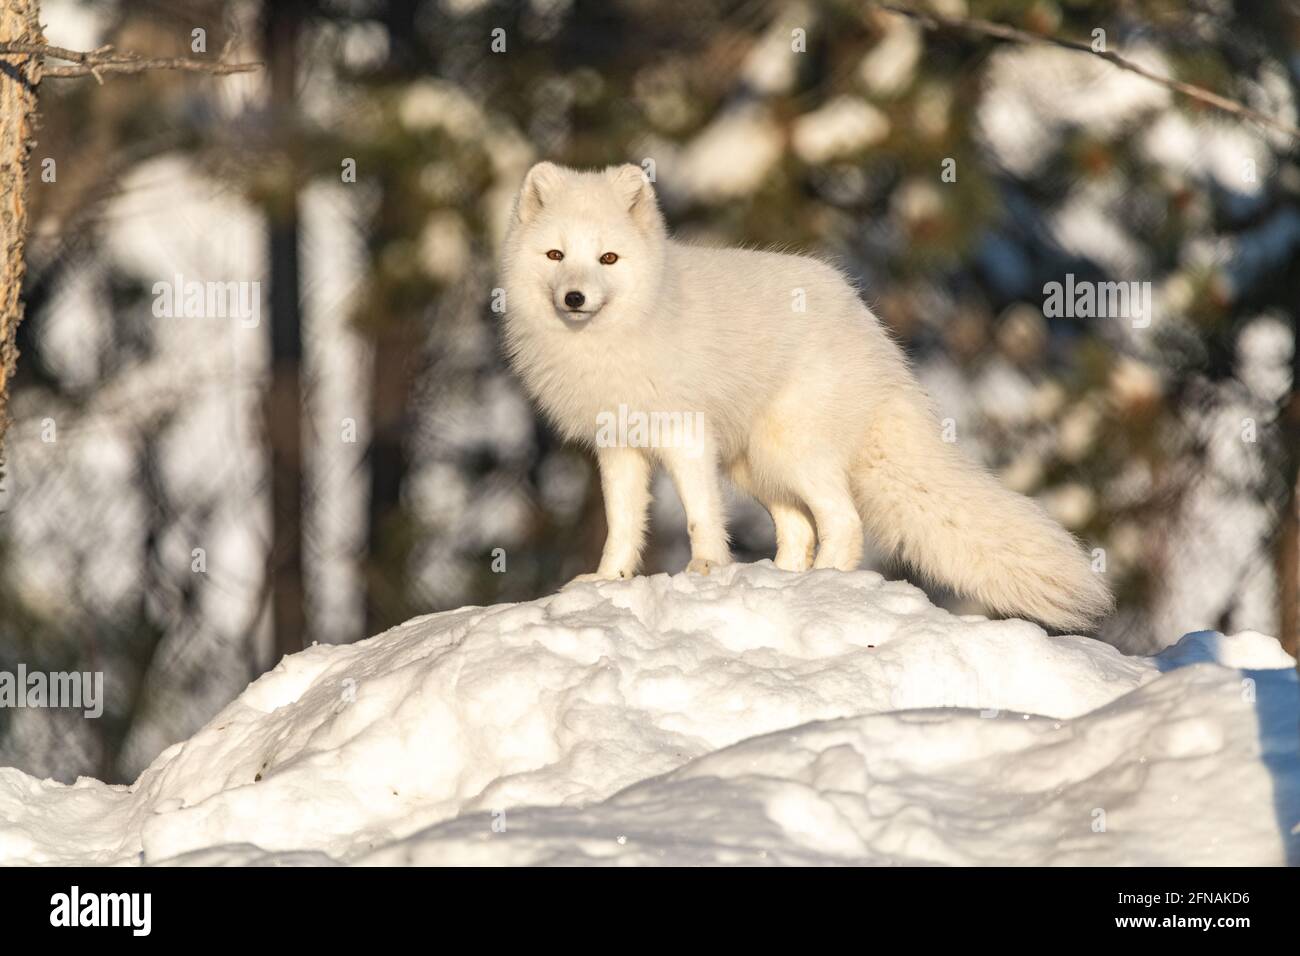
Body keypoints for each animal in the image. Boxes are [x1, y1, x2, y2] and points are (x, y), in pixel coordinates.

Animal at [501, 160, 1112, 632]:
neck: (617, 336)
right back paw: (785, 580)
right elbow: (623, 524)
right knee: (799, 527)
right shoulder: (618, 446)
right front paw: (608, 580)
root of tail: (874, 335)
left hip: (789, 451)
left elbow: (700, 515)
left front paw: (705, 569)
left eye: (608, 258)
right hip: (756, 466)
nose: (575, 298)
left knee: (842, 520)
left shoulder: (685, 435)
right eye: (555, 256)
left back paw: (823, 584)